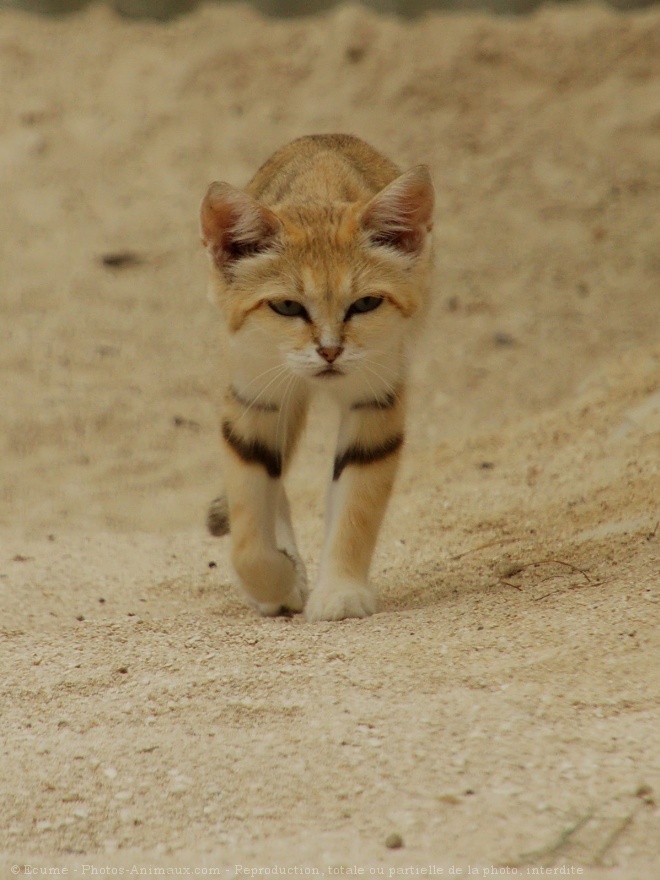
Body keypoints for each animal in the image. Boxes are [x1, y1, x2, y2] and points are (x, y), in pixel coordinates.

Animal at [204, 134, 436, 624]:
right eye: (287, 307)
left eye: (365, 303)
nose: (330, 351)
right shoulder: (255, 398)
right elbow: (247, 540)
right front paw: (279, 580)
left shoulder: (377, 400)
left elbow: (355, 507)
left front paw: (340, 591)